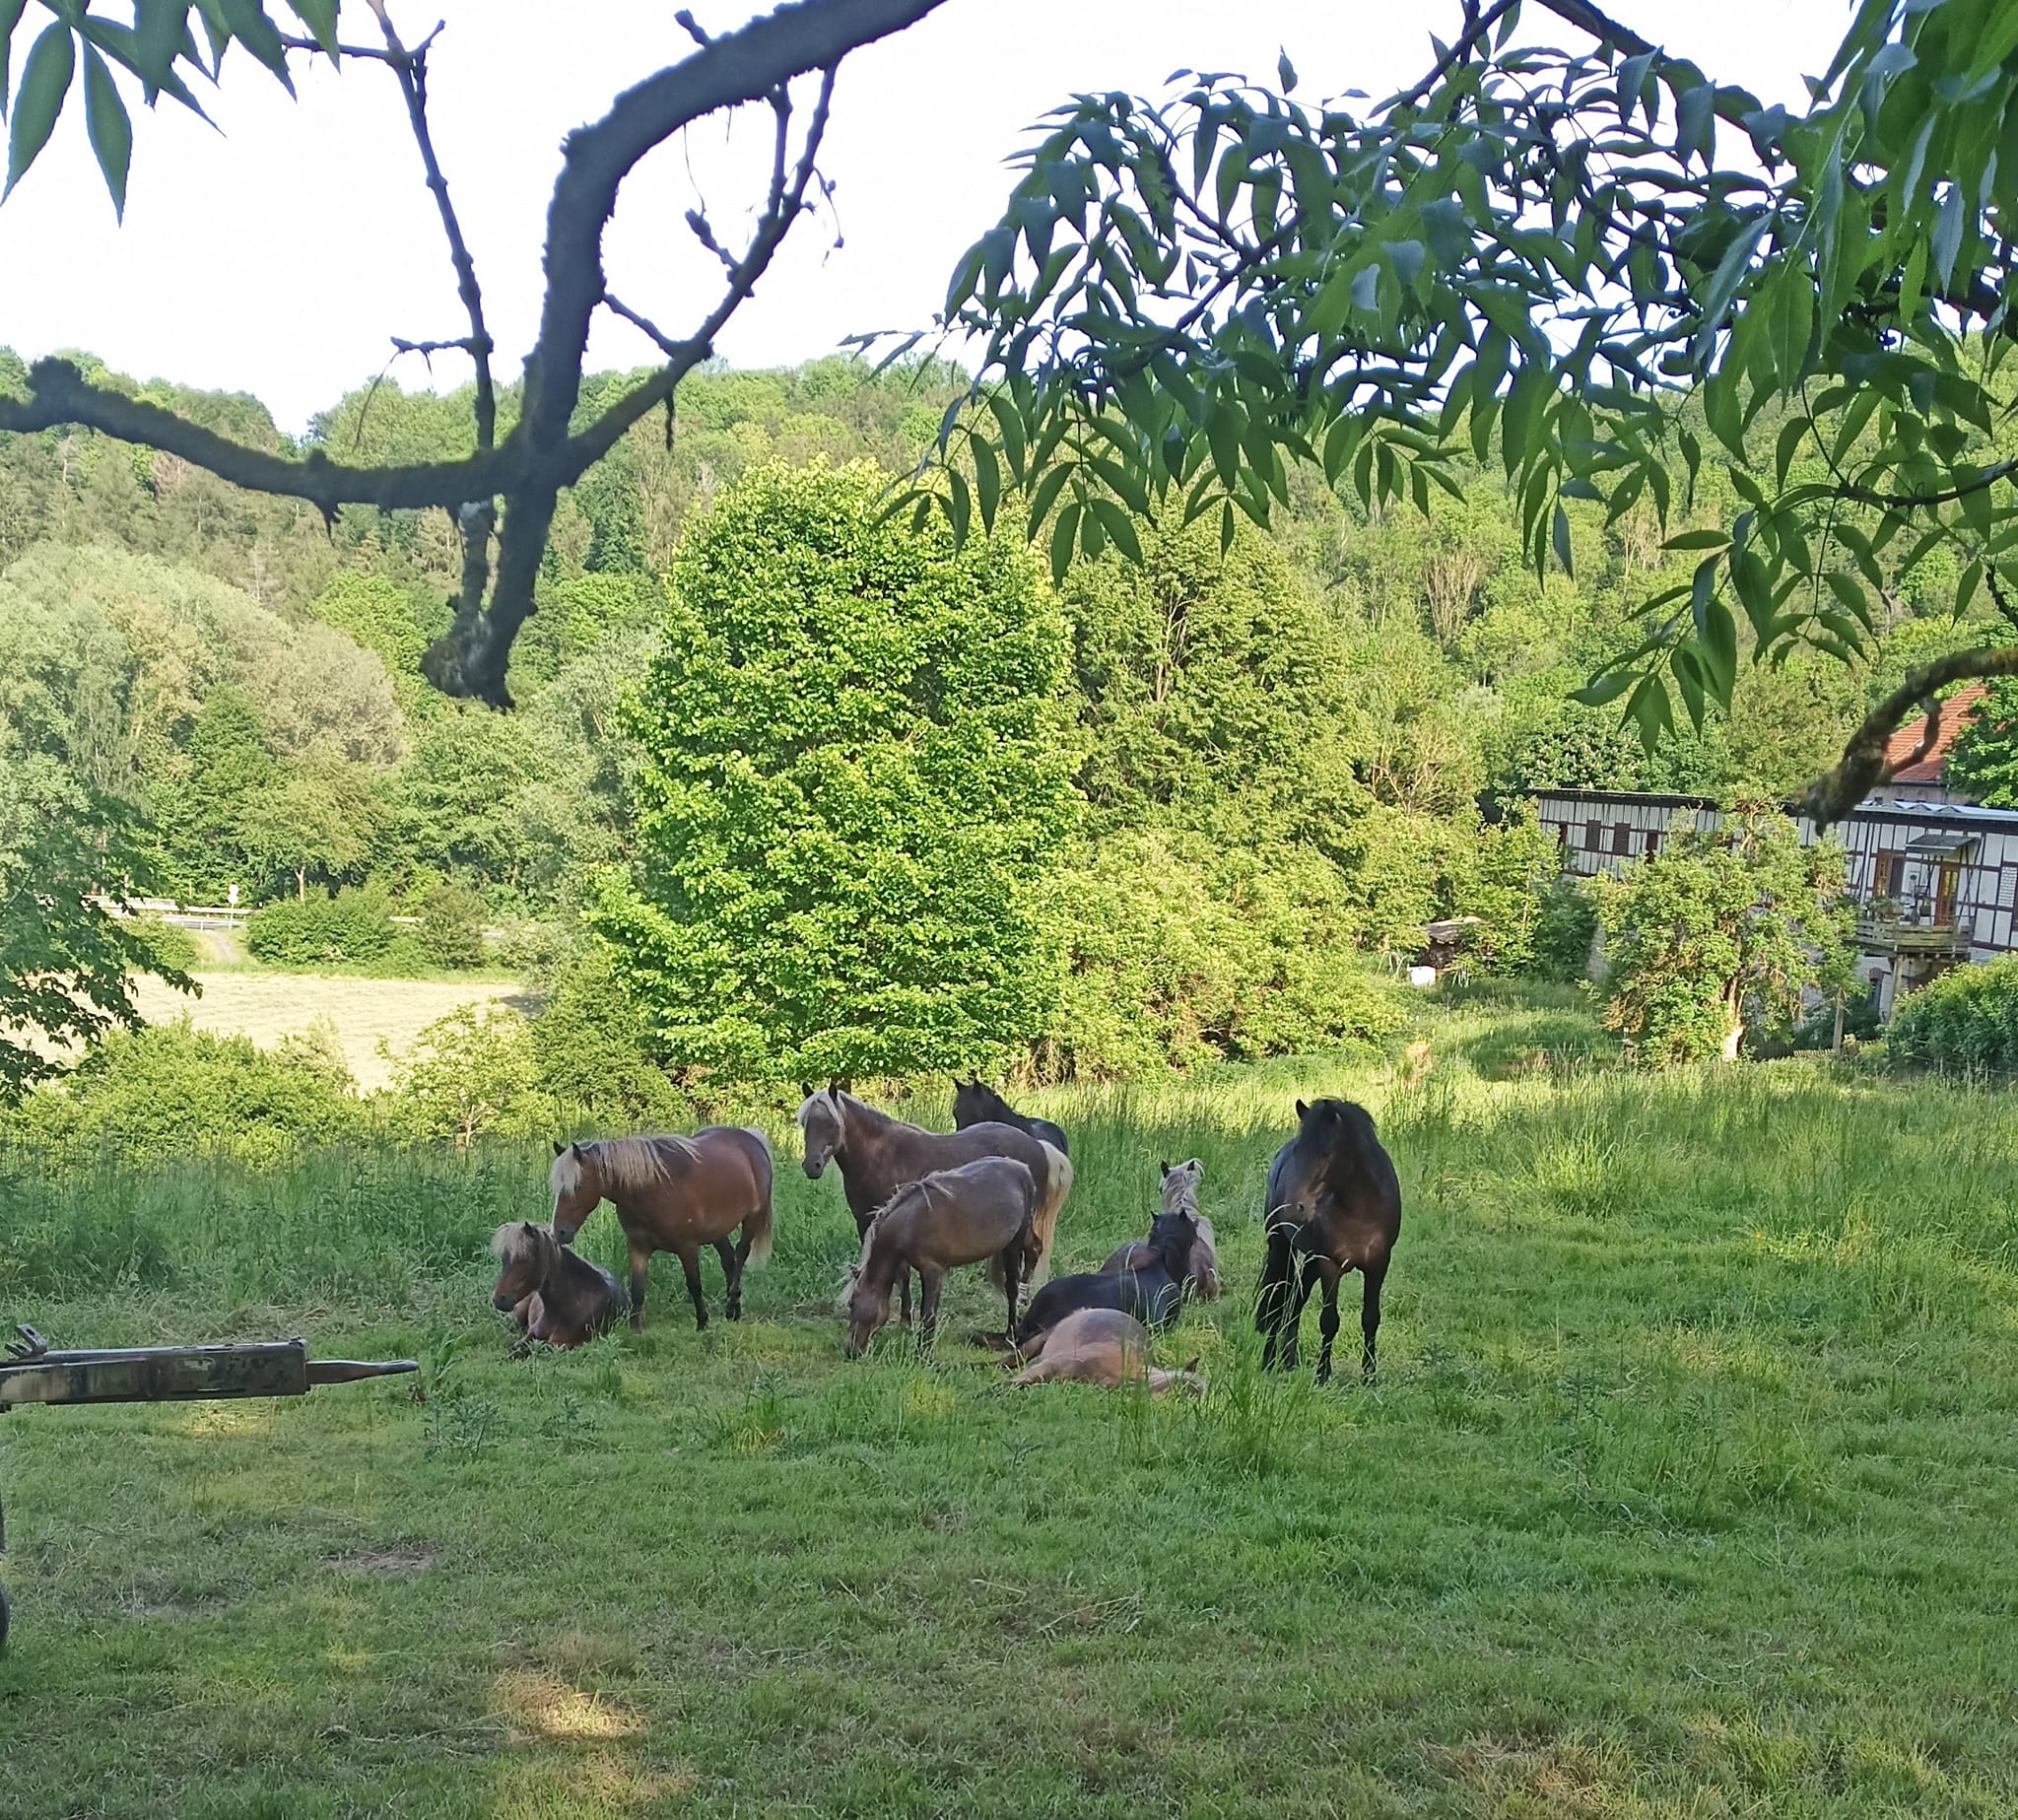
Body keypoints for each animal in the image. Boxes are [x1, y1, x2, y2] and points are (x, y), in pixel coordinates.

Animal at [548, 1129, 774, 1332]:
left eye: (577, 1185)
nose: (559, 1232)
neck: (653, 1188)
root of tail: (751, 1139)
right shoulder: (638, 1246)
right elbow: (637, 1290)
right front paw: (635, 1330)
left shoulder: (687, 1247)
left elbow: (694, 1285)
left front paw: (702, 1324)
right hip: (717, 1231)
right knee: (729, 1259)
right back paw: (734, 1311)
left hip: (751, 1219)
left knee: (741, 1254)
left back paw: (732, 1304)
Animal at [798, 1087, 1073, 1320]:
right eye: (805, 1124)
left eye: (831, 1124)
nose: (812, 1166)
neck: (882, 1155)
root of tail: (1039, 1145)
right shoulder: (866, 1222)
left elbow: (903, 1273)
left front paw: (906, 1320)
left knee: (1033, 1249)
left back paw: (1023, 1301)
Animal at [838, 1156, 1038, 1358]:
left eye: (852, 1303)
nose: (850, 1350)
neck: (910, 1223)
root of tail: (1023, 1168)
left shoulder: (933, 1271)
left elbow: (928, 1316)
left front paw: (924, 1355)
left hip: (1014, 1244)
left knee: (1013, 1289)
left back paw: (1010, 1335)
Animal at [1256, 1097, 1401, 1383]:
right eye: (1299, 1152)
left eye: (1325, 1153)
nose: (1295, 1208)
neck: (1361, 1211)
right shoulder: (1329, 1264)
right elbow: (1329, 1320)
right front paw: (1322, 1375)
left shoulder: (1379, 1264)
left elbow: (1371, 1318)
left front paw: (1369, 1376)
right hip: (1282, 1247)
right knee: (1277, 1298)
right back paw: (1269, 1361)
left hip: (1310, 1259)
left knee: (1295, 1300)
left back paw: (1289, 1360)